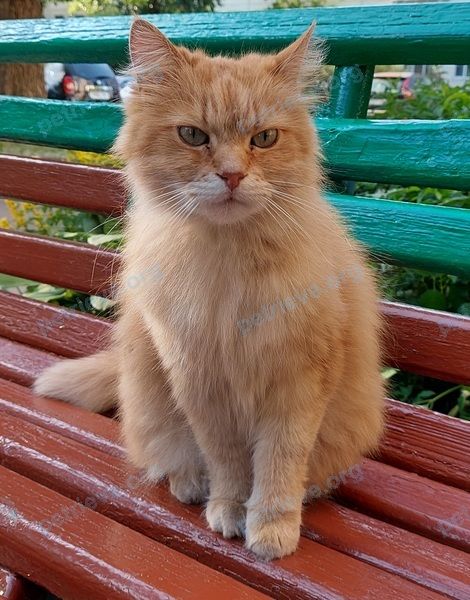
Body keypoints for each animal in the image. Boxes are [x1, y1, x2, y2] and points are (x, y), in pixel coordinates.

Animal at [35, 19, 384, 564]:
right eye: (193, 135)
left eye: (264, 138)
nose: (232, 175)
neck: (229, 264)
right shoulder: (199, 380)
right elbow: (227, 462)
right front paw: (229, 509)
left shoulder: (299, 382)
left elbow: (280, 463)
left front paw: (272, 528)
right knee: (173, 458)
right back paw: (190, 485)